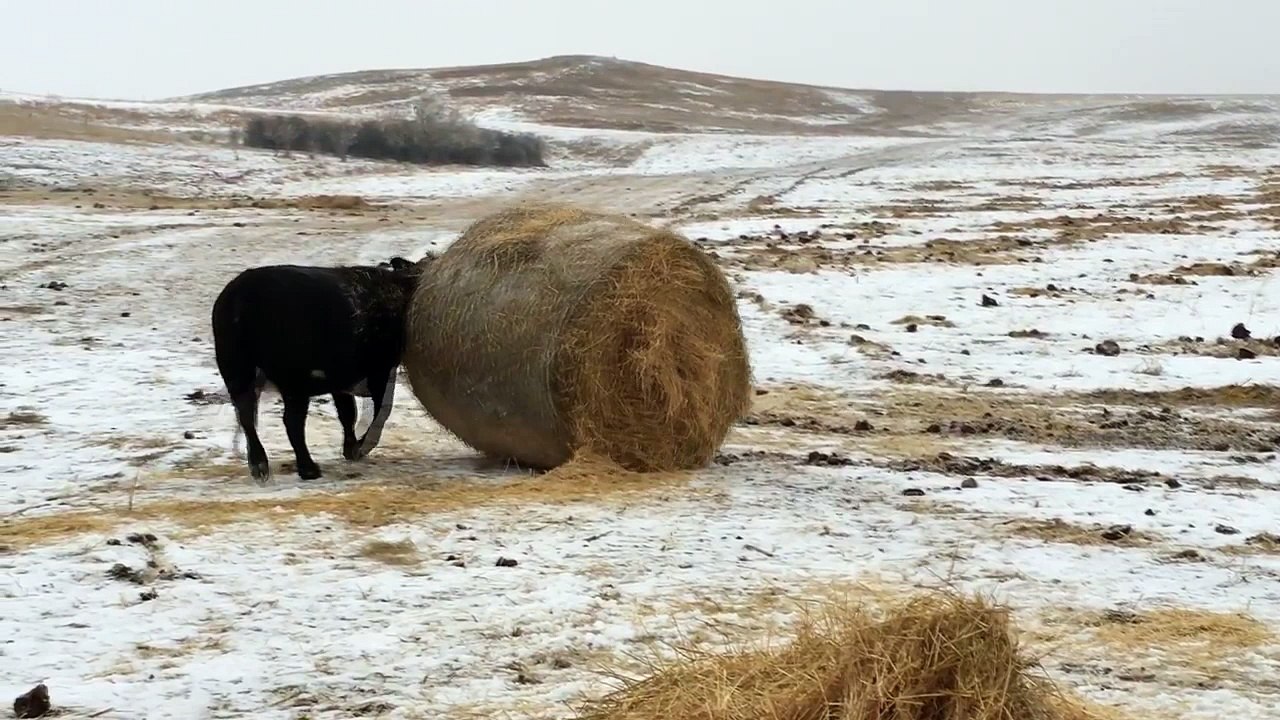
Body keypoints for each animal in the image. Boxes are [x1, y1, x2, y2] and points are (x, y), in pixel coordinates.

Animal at [211, 253, 433, 482]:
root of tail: (240, 298)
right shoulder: (379, 369)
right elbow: (380, 409)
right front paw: (360, 446)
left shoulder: (340, 378)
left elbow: (347, 413)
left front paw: (350, 447)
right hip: (292, 378)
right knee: (291, 422)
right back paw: (308, 469)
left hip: (236, 369)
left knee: (246, 415)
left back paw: (259, 465)